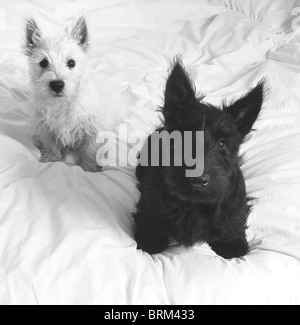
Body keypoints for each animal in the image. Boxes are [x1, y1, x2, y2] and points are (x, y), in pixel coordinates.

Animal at [24, 17, 120, 172]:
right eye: (43, 63)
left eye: (71, 63)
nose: (57, 85)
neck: (63, 103)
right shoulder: (45, 127)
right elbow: (50, 144)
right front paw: (51, 159)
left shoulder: (92, 128)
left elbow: (90, 148)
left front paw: (90, 167)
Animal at [132, 60, 264, 258]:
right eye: (184, 136)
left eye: (222, 144)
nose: (198, 179)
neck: (194, 203)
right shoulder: (151, 199)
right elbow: (150, 215)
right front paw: (150, 238)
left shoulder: (235, 203)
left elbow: (234, 217)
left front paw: (231, 243)